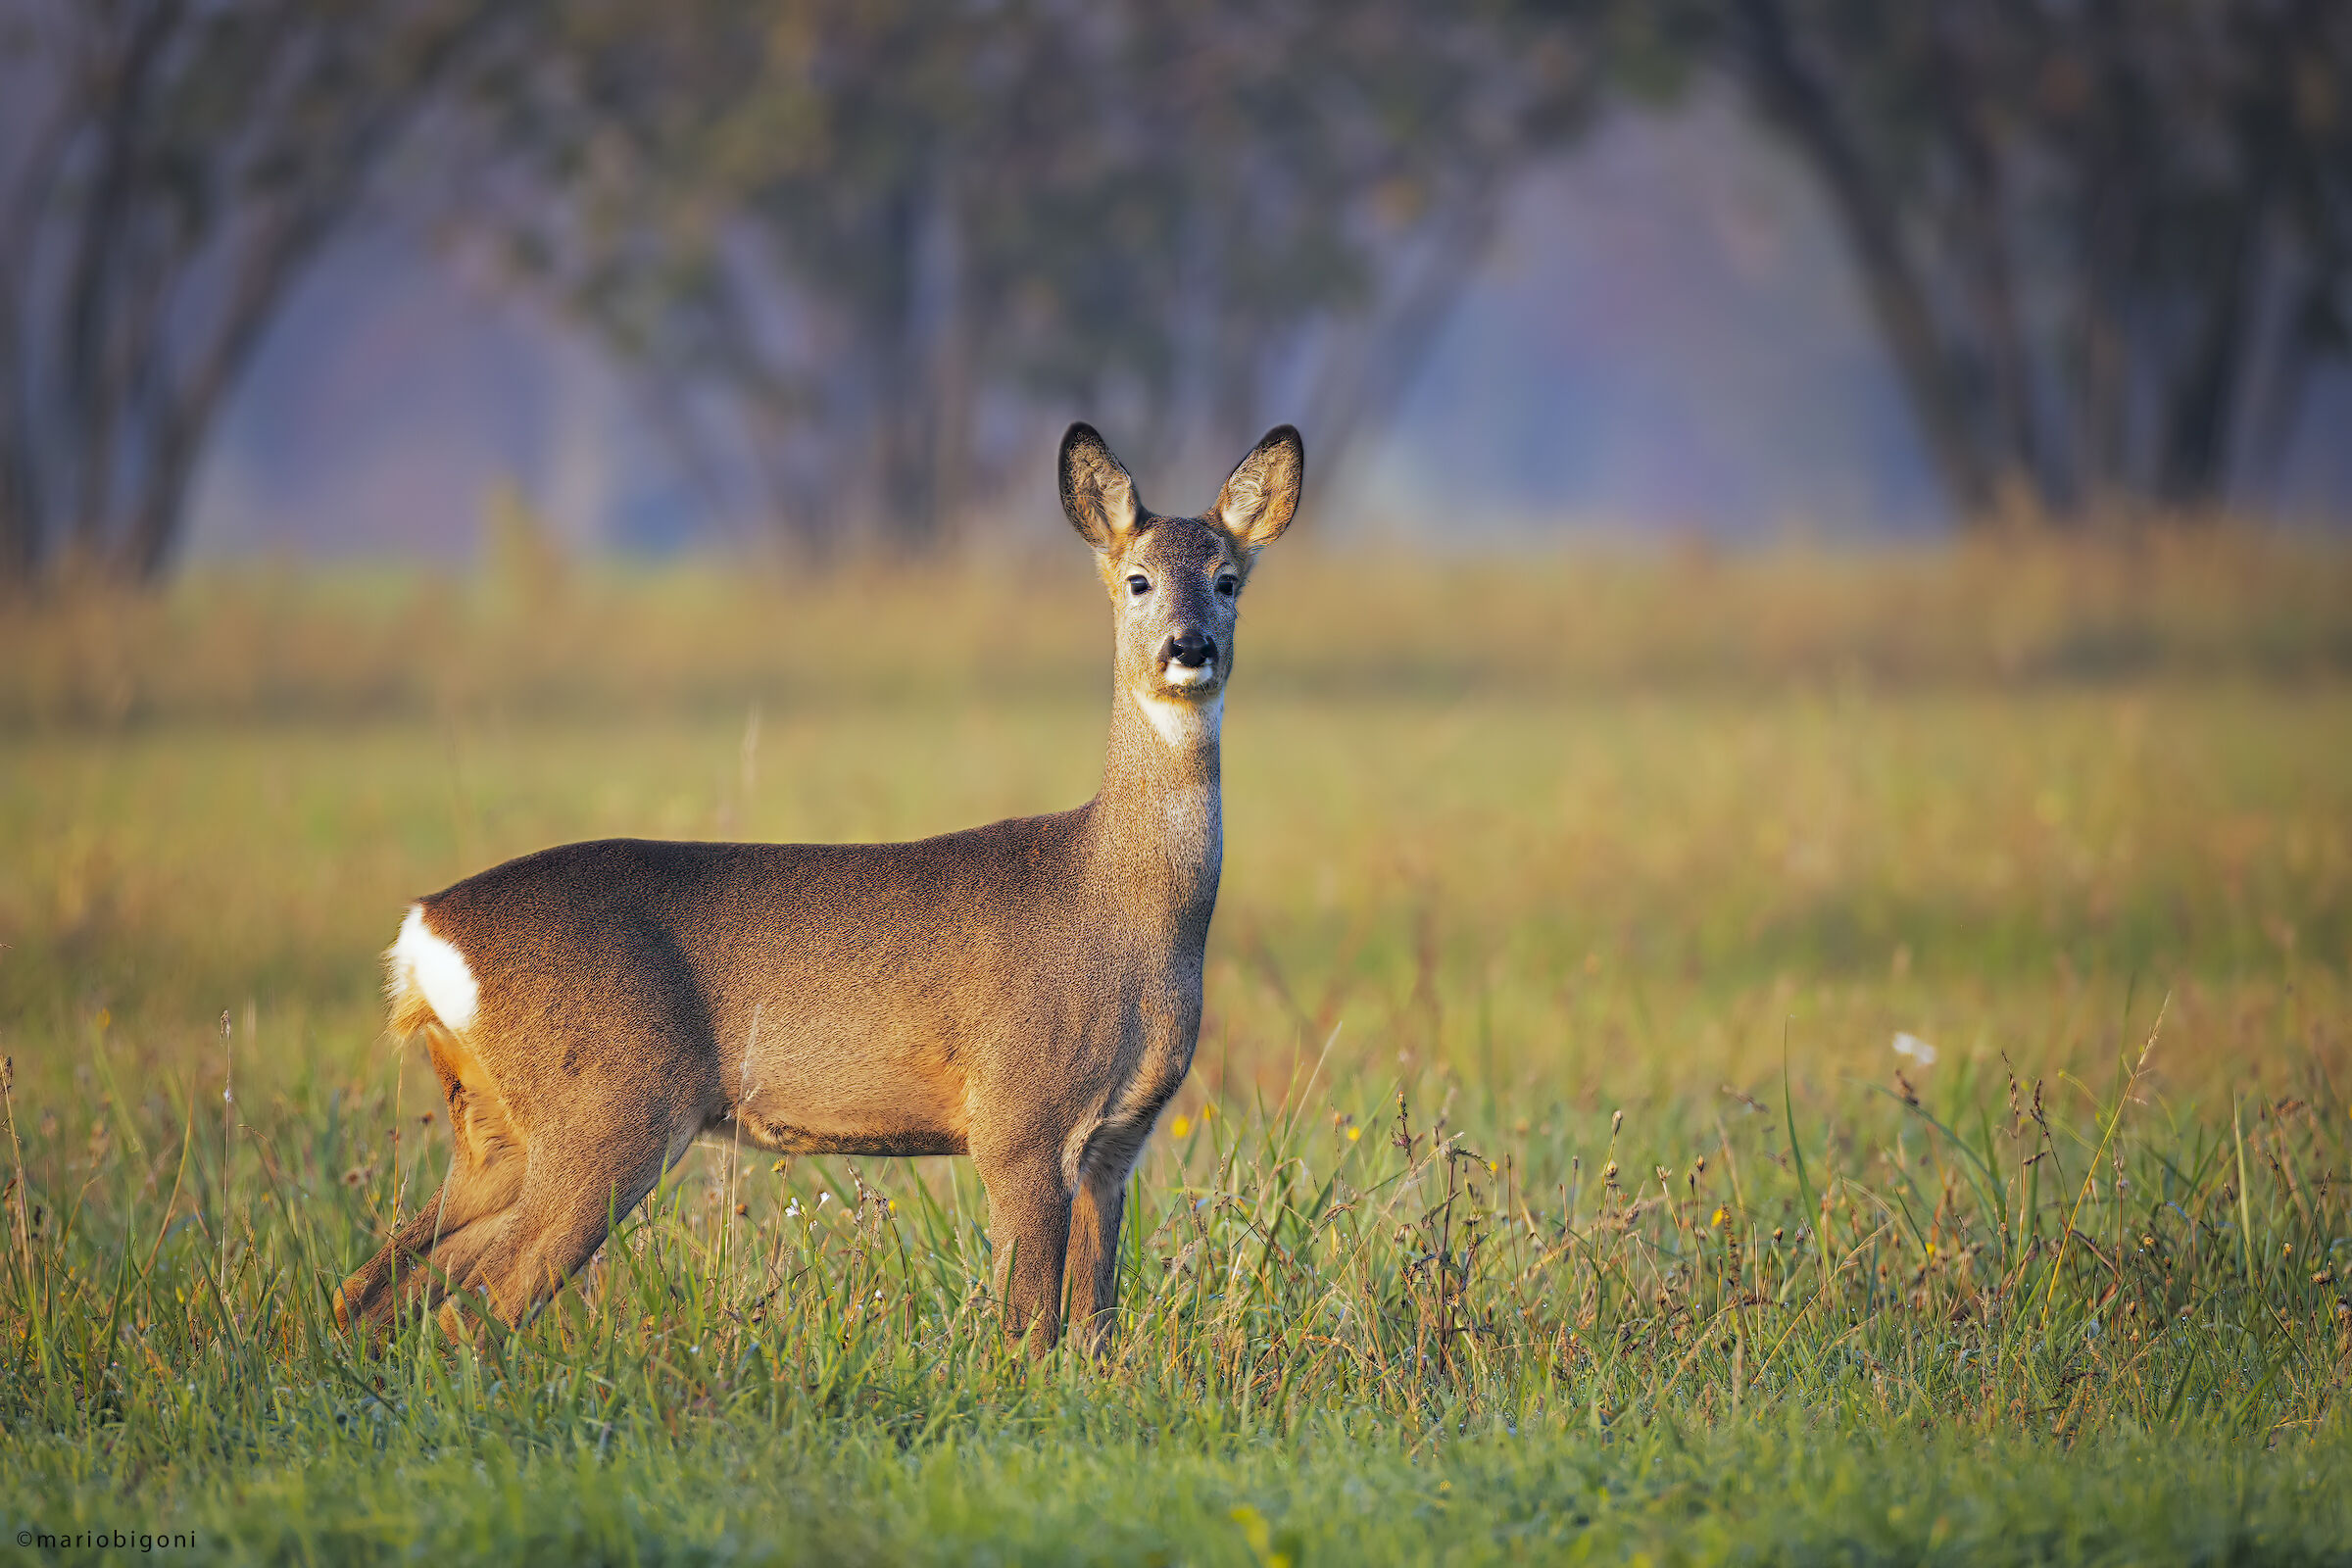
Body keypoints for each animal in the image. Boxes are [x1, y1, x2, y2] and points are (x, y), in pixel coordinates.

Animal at [335, 421, 1303, 1356]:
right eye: (1138, 581)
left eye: (1226, 580)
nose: (1190, 647)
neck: (1121, 906)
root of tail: (426, 929)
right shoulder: (1019, 1119)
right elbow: (1030, 1330)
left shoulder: (1117, 1143)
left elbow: (1094, 1327)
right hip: (603, 1109)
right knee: (472, 1308)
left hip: (496, 1131)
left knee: (371, 1290)